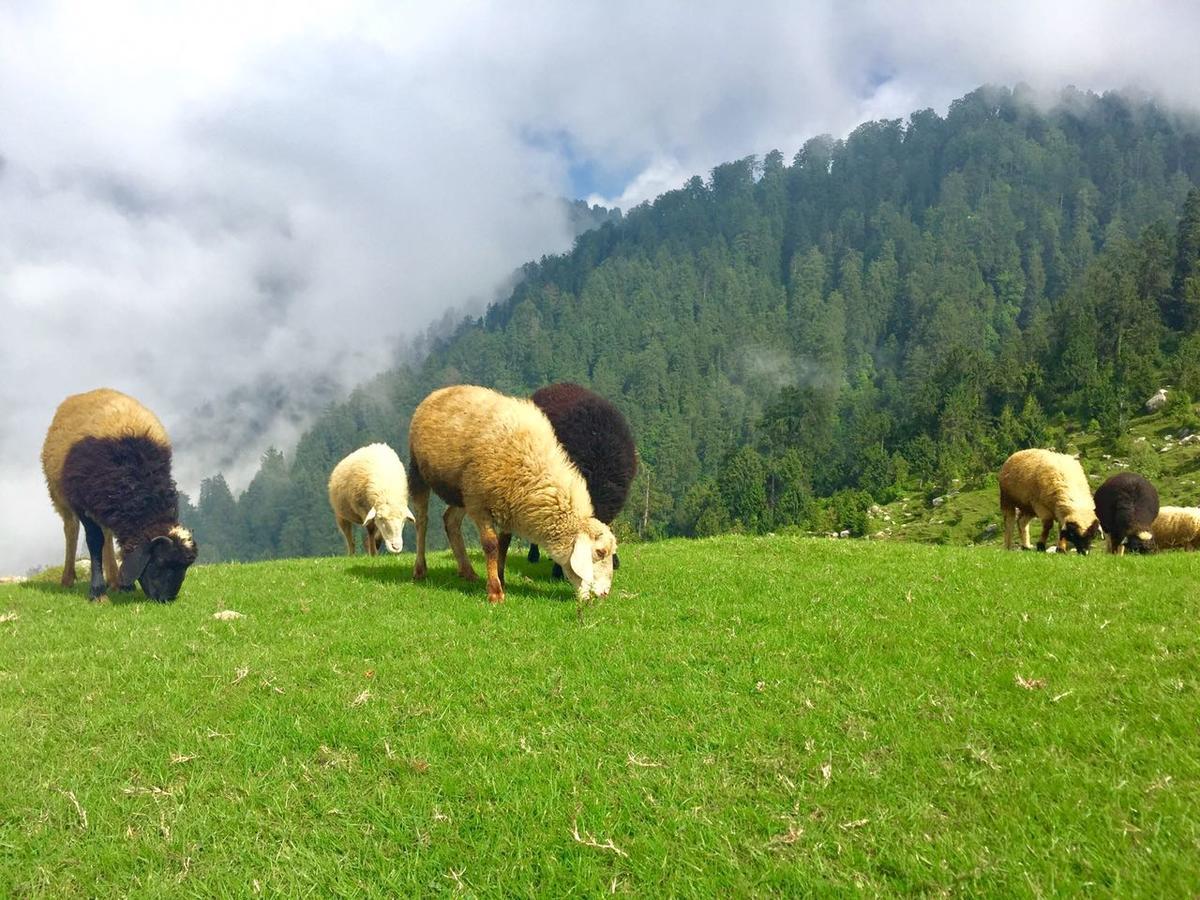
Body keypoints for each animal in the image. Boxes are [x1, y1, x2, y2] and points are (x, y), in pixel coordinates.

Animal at [41, 388, 196, 607]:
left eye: (185, 568)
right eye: (159, 562)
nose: (165, 599)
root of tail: (88, 392)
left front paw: (120, 585)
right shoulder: (83, 503)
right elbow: (94, 541)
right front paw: (97, 592)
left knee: (107, 533)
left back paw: (115, 580)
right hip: (60, 495)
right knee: (71, 530)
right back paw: (68, 579)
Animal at [410, 386, 619, 607]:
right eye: (600, 552)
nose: (605, 593)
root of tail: (441, 391)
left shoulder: (507, 505)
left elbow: (504, 545)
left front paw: (501, 579)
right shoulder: (480, 504)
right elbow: (491, 545)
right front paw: (495, 592)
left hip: (461, 491)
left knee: (450, 520)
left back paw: (468, 572)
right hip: (419, 471)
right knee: (422, 521)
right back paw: (420, 570)